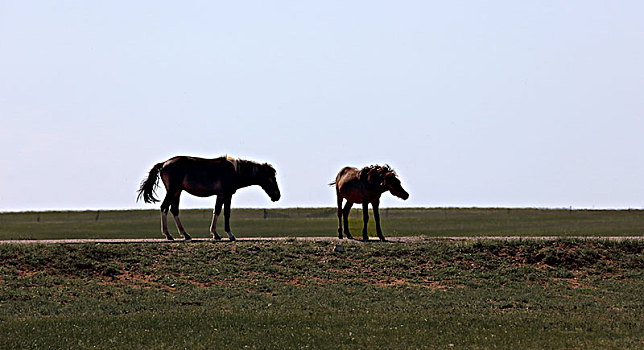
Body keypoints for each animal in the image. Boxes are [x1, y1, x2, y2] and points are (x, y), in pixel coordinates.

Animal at [136, 156, 280, 241]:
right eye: (271, 177)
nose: (277, 195)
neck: (235, 170)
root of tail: (164, 163)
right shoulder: (227, 195)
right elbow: (226, 213)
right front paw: (229, 235)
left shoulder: (220, 195)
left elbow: (217, 211)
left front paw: (215, 234)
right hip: (172, 191)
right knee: (164, 207)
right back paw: (168, 234)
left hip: (177, 192)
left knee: (174, 209)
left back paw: (185, 234)